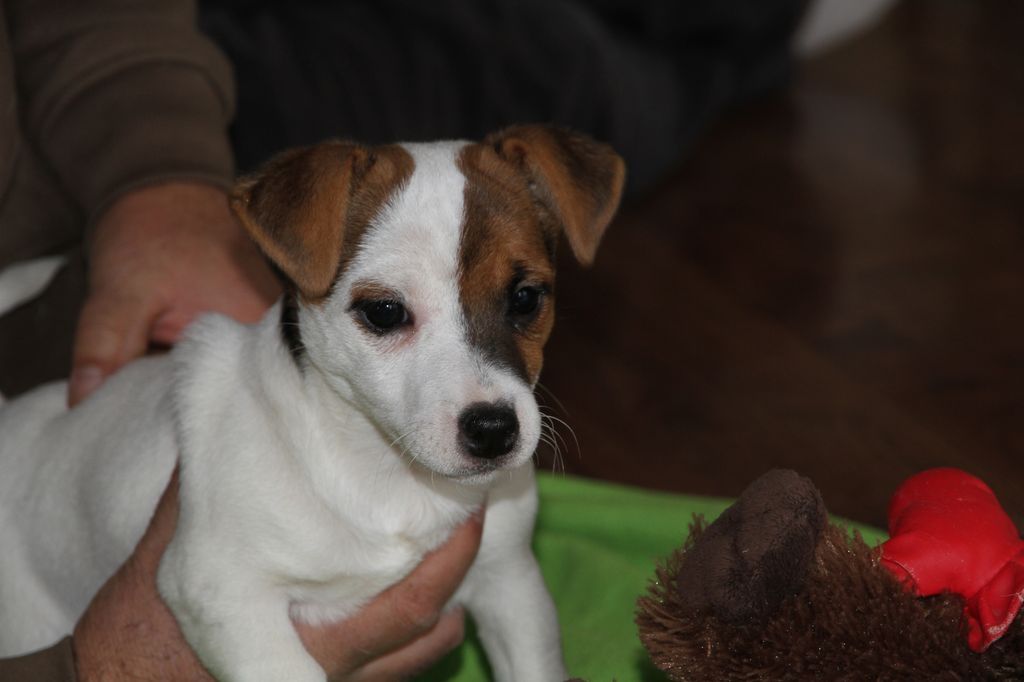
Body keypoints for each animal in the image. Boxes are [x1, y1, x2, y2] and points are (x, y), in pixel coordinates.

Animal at [0, 125, 625, 681]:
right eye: (385, 312)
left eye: (526, 298)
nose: (494, 430)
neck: (384, 476)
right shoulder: (222, 590)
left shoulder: (511, 582)